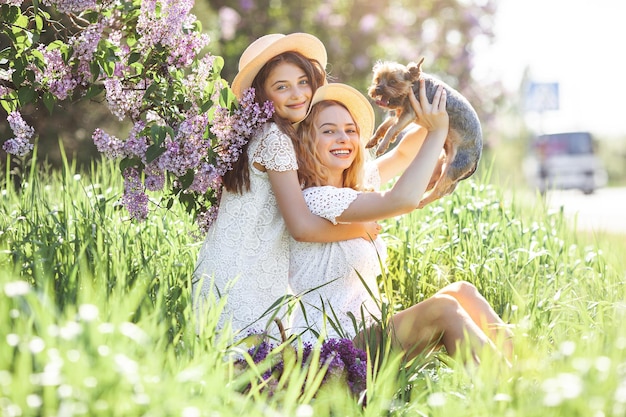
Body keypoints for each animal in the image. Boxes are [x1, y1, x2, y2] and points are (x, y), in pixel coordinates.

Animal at [366, 57, 482, 207]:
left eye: (393, 82)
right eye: (378, 79)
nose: (378, 88)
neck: (413, 86)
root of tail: (476, 159)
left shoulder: (408, 113)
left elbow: (391, 129)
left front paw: (382, 146)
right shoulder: (399, 114)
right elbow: (384, 127)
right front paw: (373, 141)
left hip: (453, 167)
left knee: (440, 191)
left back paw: (422, 202)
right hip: (440, 163)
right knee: (434, 183)